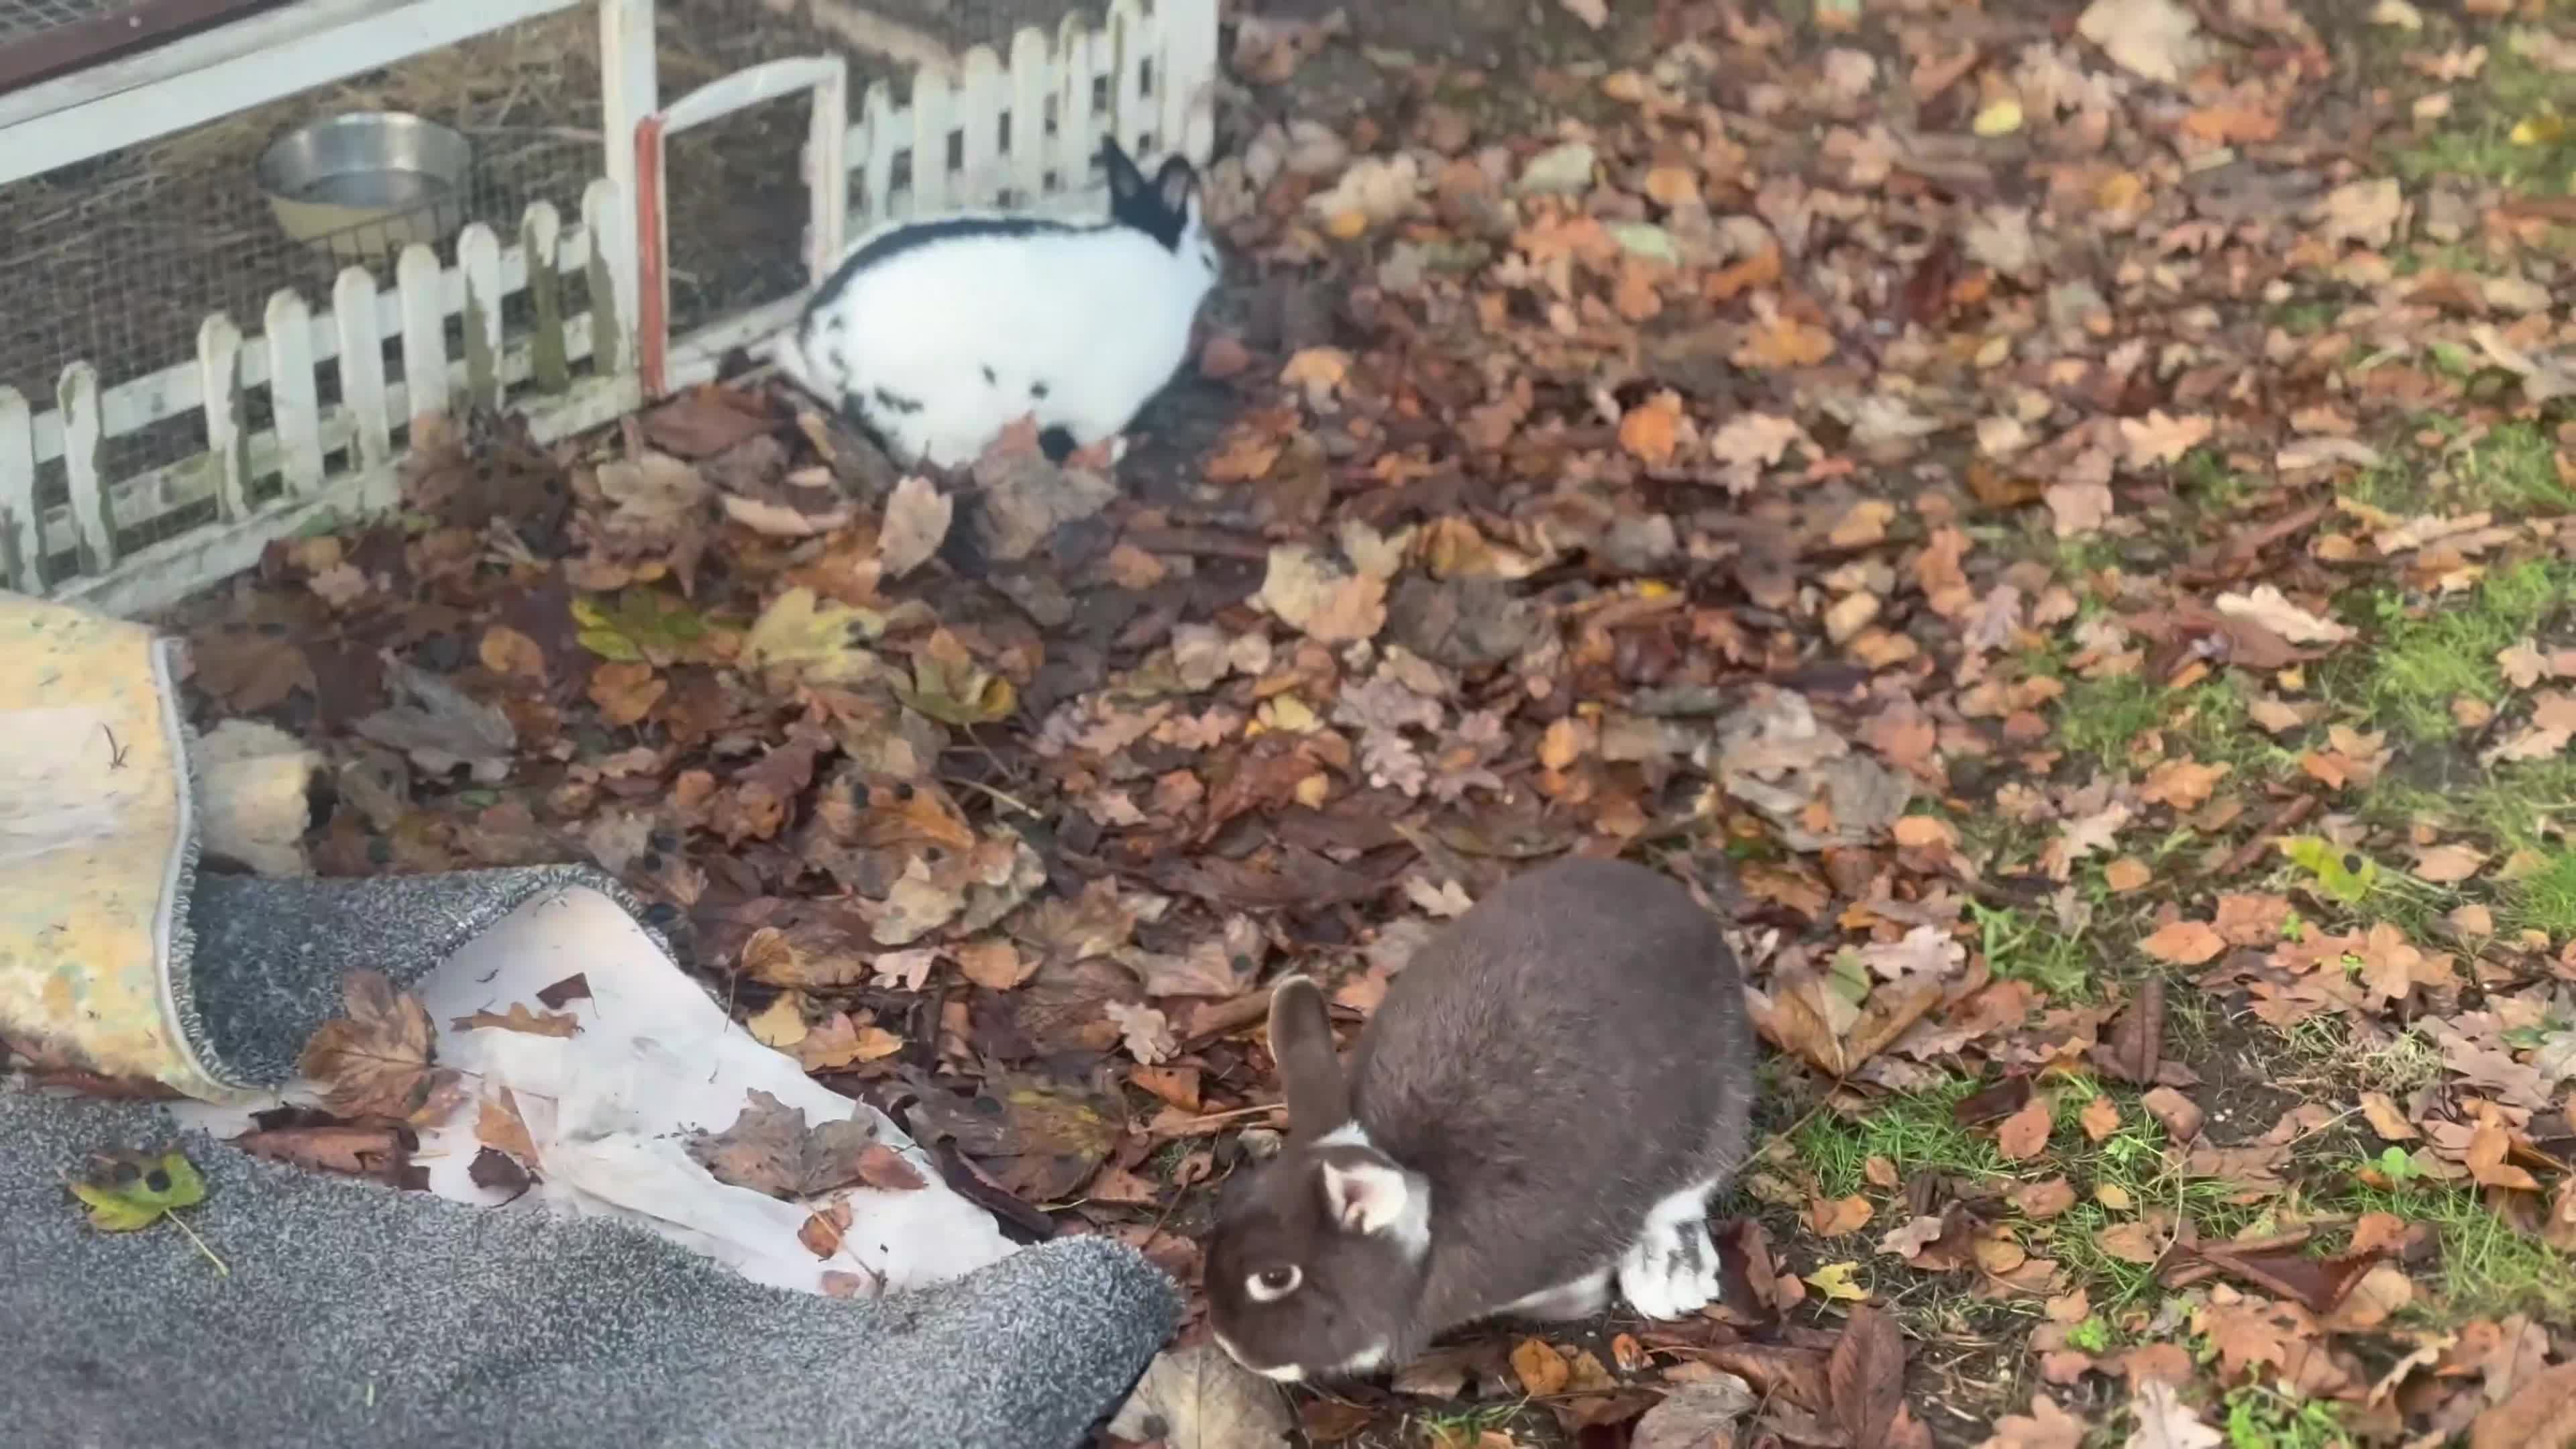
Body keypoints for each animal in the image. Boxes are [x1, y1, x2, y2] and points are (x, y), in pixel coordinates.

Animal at [773, 136, 1220, 470]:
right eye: (1205, 255)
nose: (1218, 269)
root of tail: (817, 339)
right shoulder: (1103, 408)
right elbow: (1093, 440)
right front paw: (1117, 452)